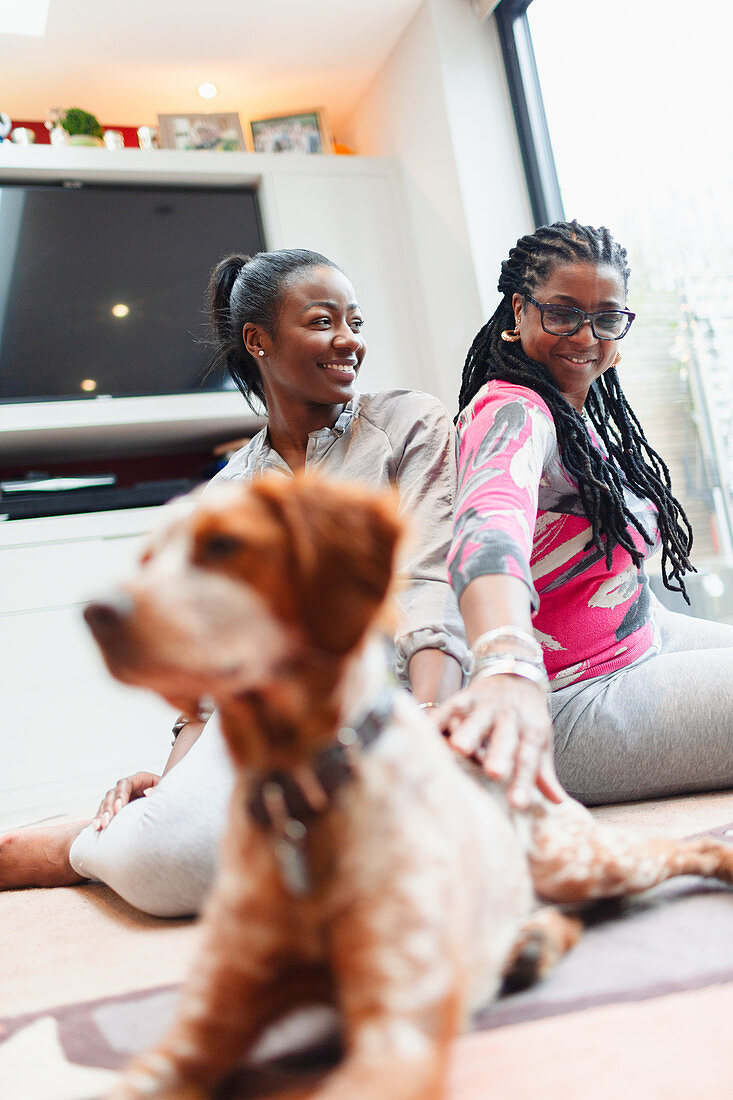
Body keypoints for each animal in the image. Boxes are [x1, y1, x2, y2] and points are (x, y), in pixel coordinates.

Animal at [86, 475, 730, 1100]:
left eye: (224, 544)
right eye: (145, 558)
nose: (95, 611)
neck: (299, 795)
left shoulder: (398, 1035)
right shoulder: (193, 1033)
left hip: (583, 861)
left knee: (680, 850)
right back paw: (527, 947)